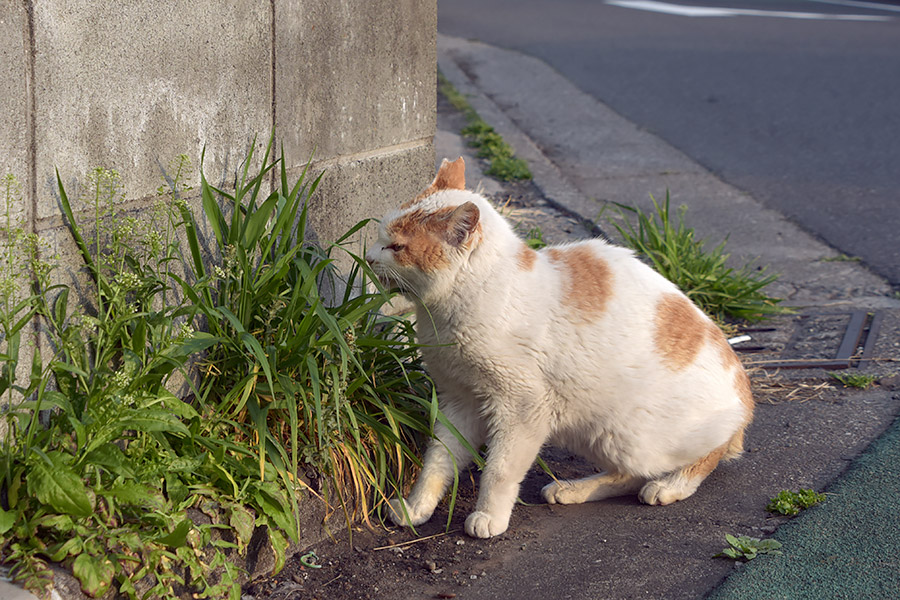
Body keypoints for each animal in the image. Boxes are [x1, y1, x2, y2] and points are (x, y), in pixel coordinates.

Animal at [366, 156, 752, 540]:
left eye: (396, 247)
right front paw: (416, 507)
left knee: (704, 455)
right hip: (599, 434)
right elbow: (437, 459)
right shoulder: (458, 400)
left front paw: (489, 515)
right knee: (629, 475)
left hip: (633, 434)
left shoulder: (523, 408)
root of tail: (745, 392)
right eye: (381, 236)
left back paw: (670, 485)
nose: (368, 257)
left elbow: (500, 469)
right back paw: (572, 489)